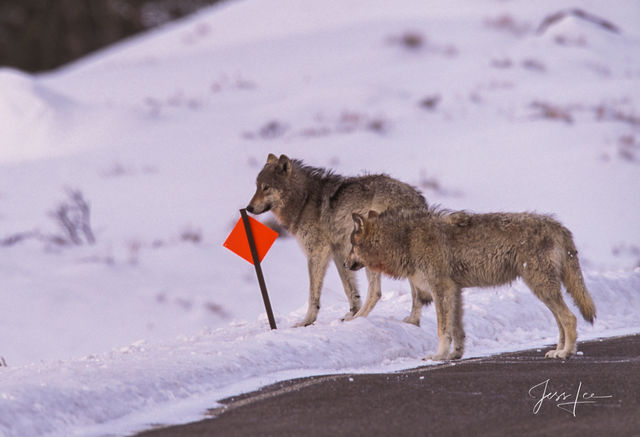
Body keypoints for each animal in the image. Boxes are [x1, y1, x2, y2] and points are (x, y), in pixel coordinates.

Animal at [245, 155, 430, 326]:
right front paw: (351, 312)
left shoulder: (317, 253)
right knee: (416, 294)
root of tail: (418, 199)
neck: (304, 200)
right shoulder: (339, 254)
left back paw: (358, 319)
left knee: (376, 292)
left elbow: (313, 294)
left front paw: (306, 321)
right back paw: (411, 321)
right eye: (256, 187)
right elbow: (350, 290)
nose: (248, 208)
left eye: (266, 187)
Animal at [344, 208, 596, 358]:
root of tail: (559, 226)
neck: (405, 241)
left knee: (570, 318)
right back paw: (557, 350)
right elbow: (457, 329)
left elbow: (442, 329)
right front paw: (454, 355)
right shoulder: (455, 290)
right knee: (561, 321)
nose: (345, 263)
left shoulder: (441, 289)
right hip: (542, 290)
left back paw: (565, 353)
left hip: (541, 287)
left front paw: (438, 356)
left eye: (352, 245)